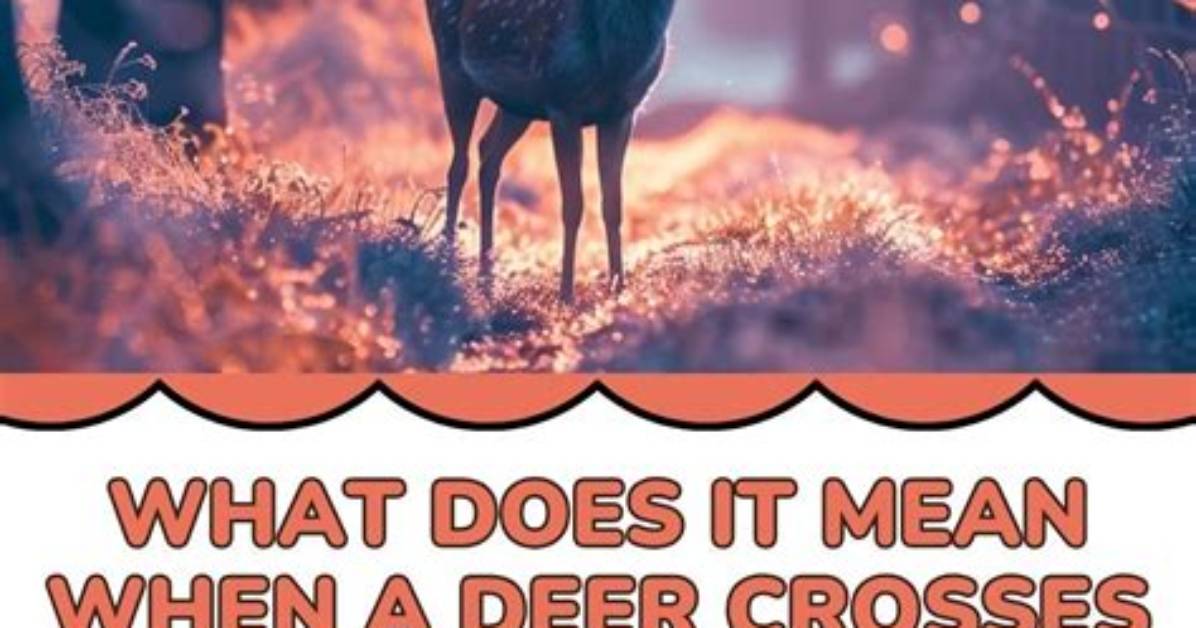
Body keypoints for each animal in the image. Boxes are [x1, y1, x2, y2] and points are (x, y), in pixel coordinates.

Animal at [426, 0, 676, 303]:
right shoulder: (562, 103)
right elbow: (573, 205)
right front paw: (566, 294)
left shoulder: (621, 112)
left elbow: (613, 205)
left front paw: (618, 289)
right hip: (452, 70)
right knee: (458, 165)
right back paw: (449, 264)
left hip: (517, 106)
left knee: (487, 153)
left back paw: (487, 277)